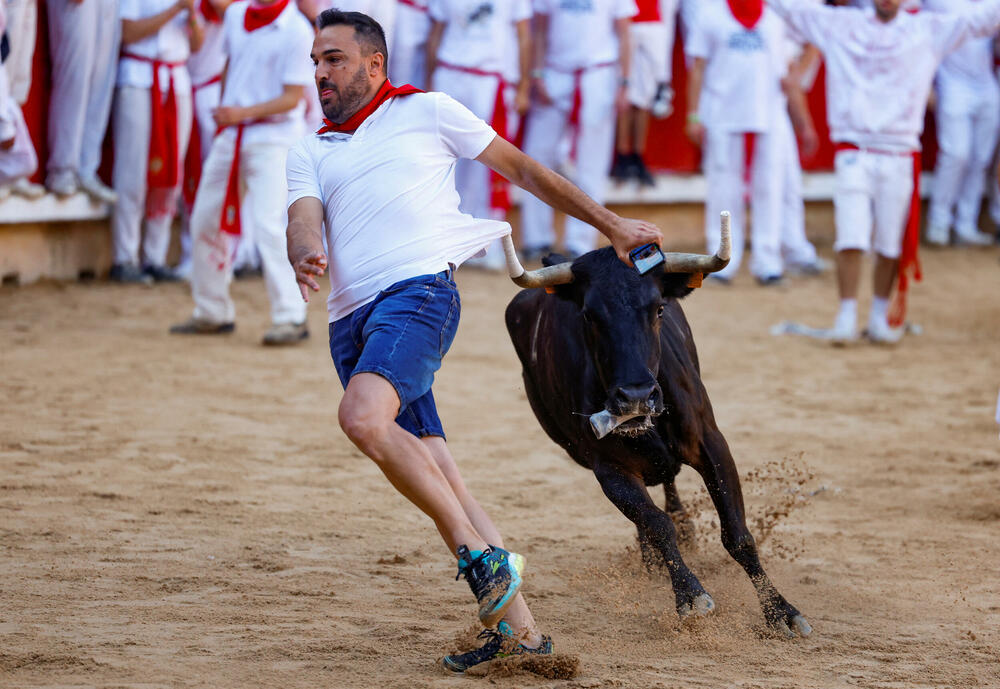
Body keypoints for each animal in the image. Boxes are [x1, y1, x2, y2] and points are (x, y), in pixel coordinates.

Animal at [508, 249, 812, 640]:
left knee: (669, 480)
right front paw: (690, 595)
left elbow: (738, 535)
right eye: (589, 314)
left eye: (659, 309)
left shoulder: (712, 443)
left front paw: (781, 611)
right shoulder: (609, 469)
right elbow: (655, 522)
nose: (636, 396)